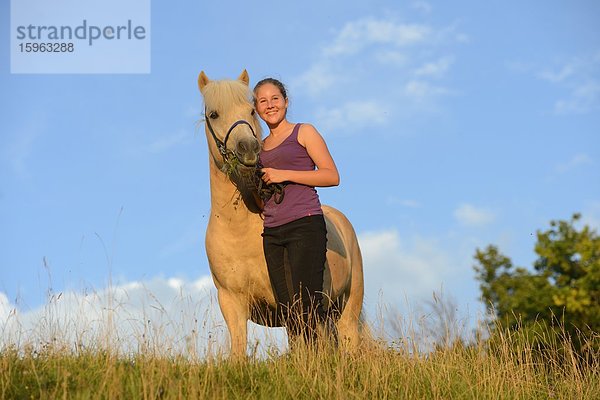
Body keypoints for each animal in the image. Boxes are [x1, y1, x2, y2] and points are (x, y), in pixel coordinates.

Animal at [199, 70, 364, 358]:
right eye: (214, 114)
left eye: (251, 110)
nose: (248, 148)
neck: (239, 231)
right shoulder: (231, 302)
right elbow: (238, 351)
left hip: (345, 308)